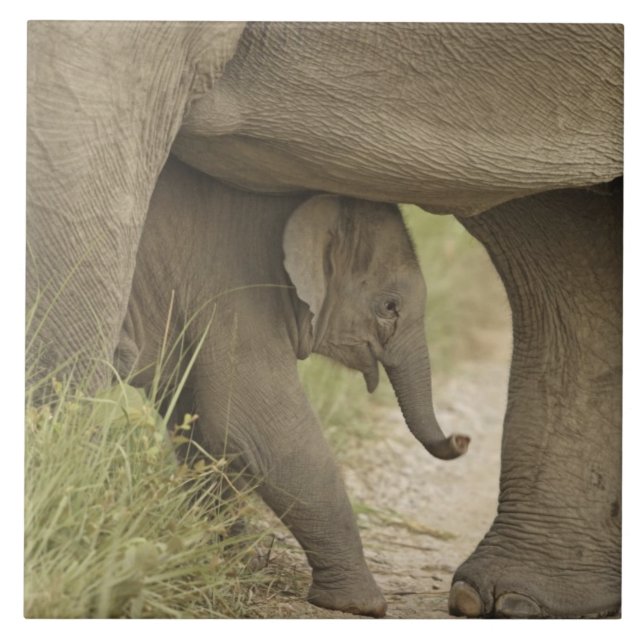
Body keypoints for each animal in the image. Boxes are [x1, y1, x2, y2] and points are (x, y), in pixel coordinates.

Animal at [116, 155, 470, 616]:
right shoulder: (236, 290)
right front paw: (363, 605)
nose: (462, 439)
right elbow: (260, 427)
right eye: (389, 307)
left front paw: (230, 562)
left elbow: (199, 427)